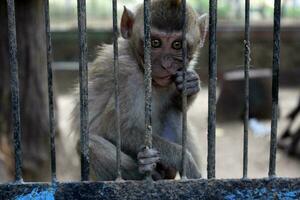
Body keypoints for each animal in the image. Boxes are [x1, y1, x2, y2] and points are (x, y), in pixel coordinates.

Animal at [72, 0, 209, 180]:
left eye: (177, 45)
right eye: (155, 43)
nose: (166, 64)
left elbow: (179, 104)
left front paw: (191, 84)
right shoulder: (127, 75)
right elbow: (117, 128)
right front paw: (184, 160)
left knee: (173, 113)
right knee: (88, 144)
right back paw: (145, 169)